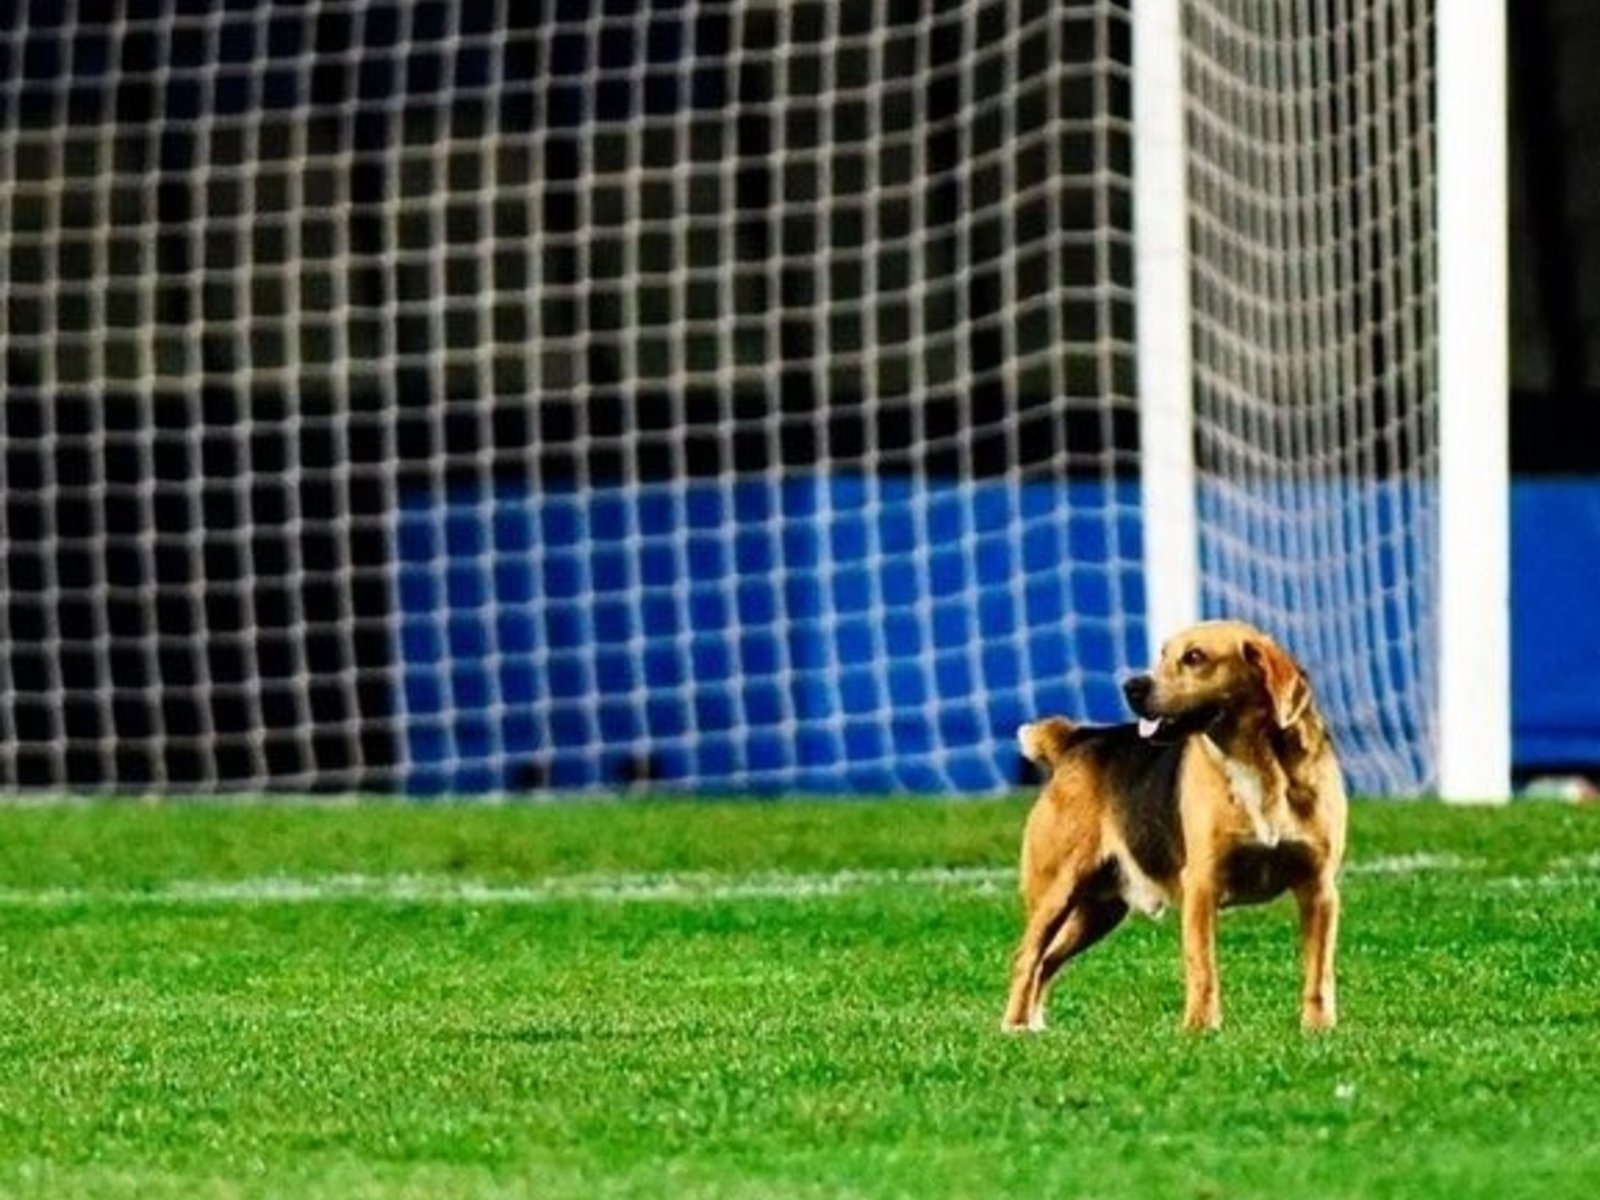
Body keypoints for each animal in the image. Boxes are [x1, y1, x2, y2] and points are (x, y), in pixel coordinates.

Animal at [1004, 620, 1344, 1036]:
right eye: (1163, 654)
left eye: (1195, 657)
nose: (1132, 686)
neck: (1257, 762)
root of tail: (1079, 738)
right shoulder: (1201, 885)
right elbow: (1202, 967)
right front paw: (1200, 1029)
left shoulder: (1319, 888)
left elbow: (1319, 972)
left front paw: (1319, 1029)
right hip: (1056, 892)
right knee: (1026, 957)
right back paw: (1014, 1026)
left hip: (1098, 911)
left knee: (1047, 961)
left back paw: (1033, 1024)